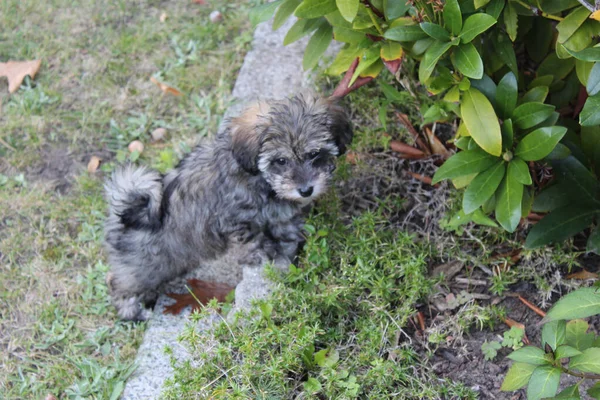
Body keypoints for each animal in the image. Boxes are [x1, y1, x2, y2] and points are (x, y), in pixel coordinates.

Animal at [103, 93, 352, 318]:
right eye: (281, 161)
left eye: (315, 154)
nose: (306, 190)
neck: (260, 179)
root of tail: (127, 215)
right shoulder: (235, 220)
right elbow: (252, 241)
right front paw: (261, 257)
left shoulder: (278, 215)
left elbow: (284, 229)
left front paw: (288, 249)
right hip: (145, 266)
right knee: (122, 286)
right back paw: (133, 312)